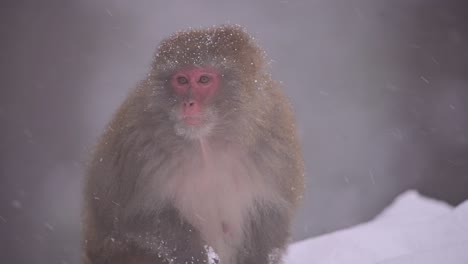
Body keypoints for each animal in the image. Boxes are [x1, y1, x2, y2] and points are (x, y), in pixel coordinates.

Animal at [82, 24, 306, 264]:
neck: (207, 142)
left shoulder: (275, 146)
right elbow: (137, 218)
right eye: (181, 81)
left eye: (203, 80)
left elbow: (271, 215)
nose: (188, 103)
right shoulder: (138, 147)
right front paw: (196, 254)